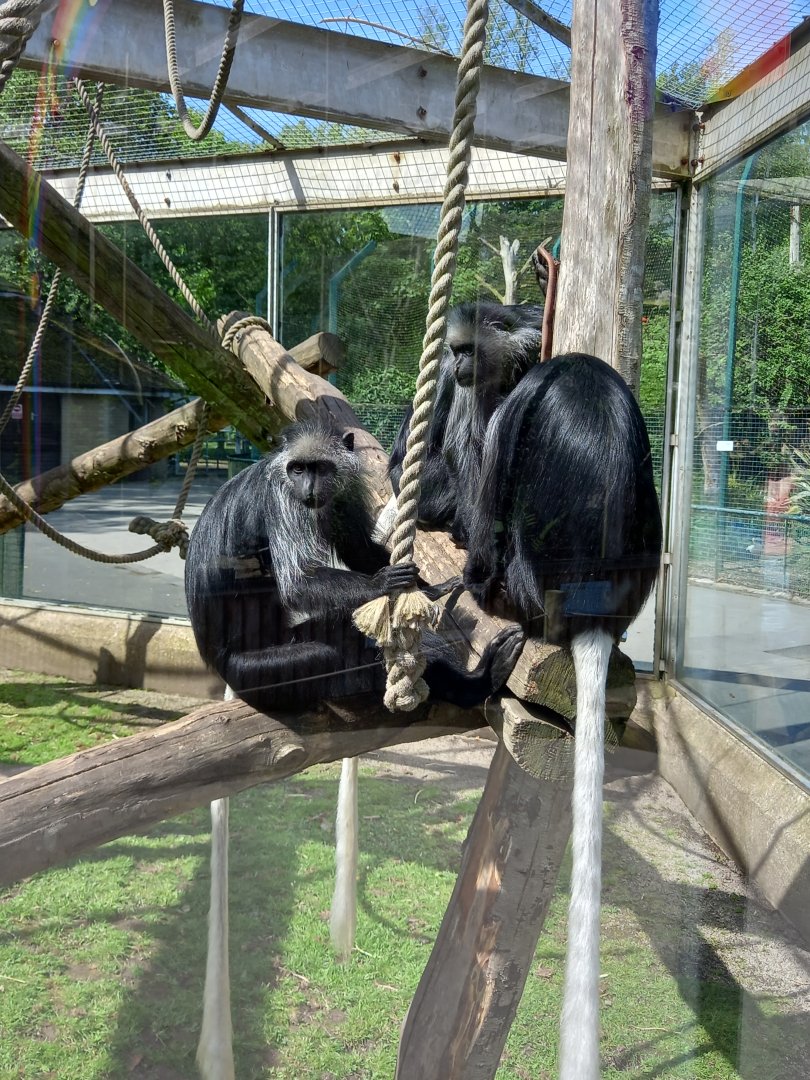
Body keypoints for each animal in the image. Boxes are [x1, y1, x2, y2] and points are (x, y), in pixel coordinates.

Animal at [185, 419, 525, 717]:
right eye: (298, 469)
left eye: (321, 468)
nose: (309, 489)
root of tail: (216, 661)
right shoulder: (282, 497)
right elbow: (298, 582)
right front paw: (383, 584)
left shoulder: (339, 491)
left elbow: (357, 547)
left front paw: (427, 589)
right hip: (251, 673)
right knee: (327, 657)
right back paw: (478, 682)